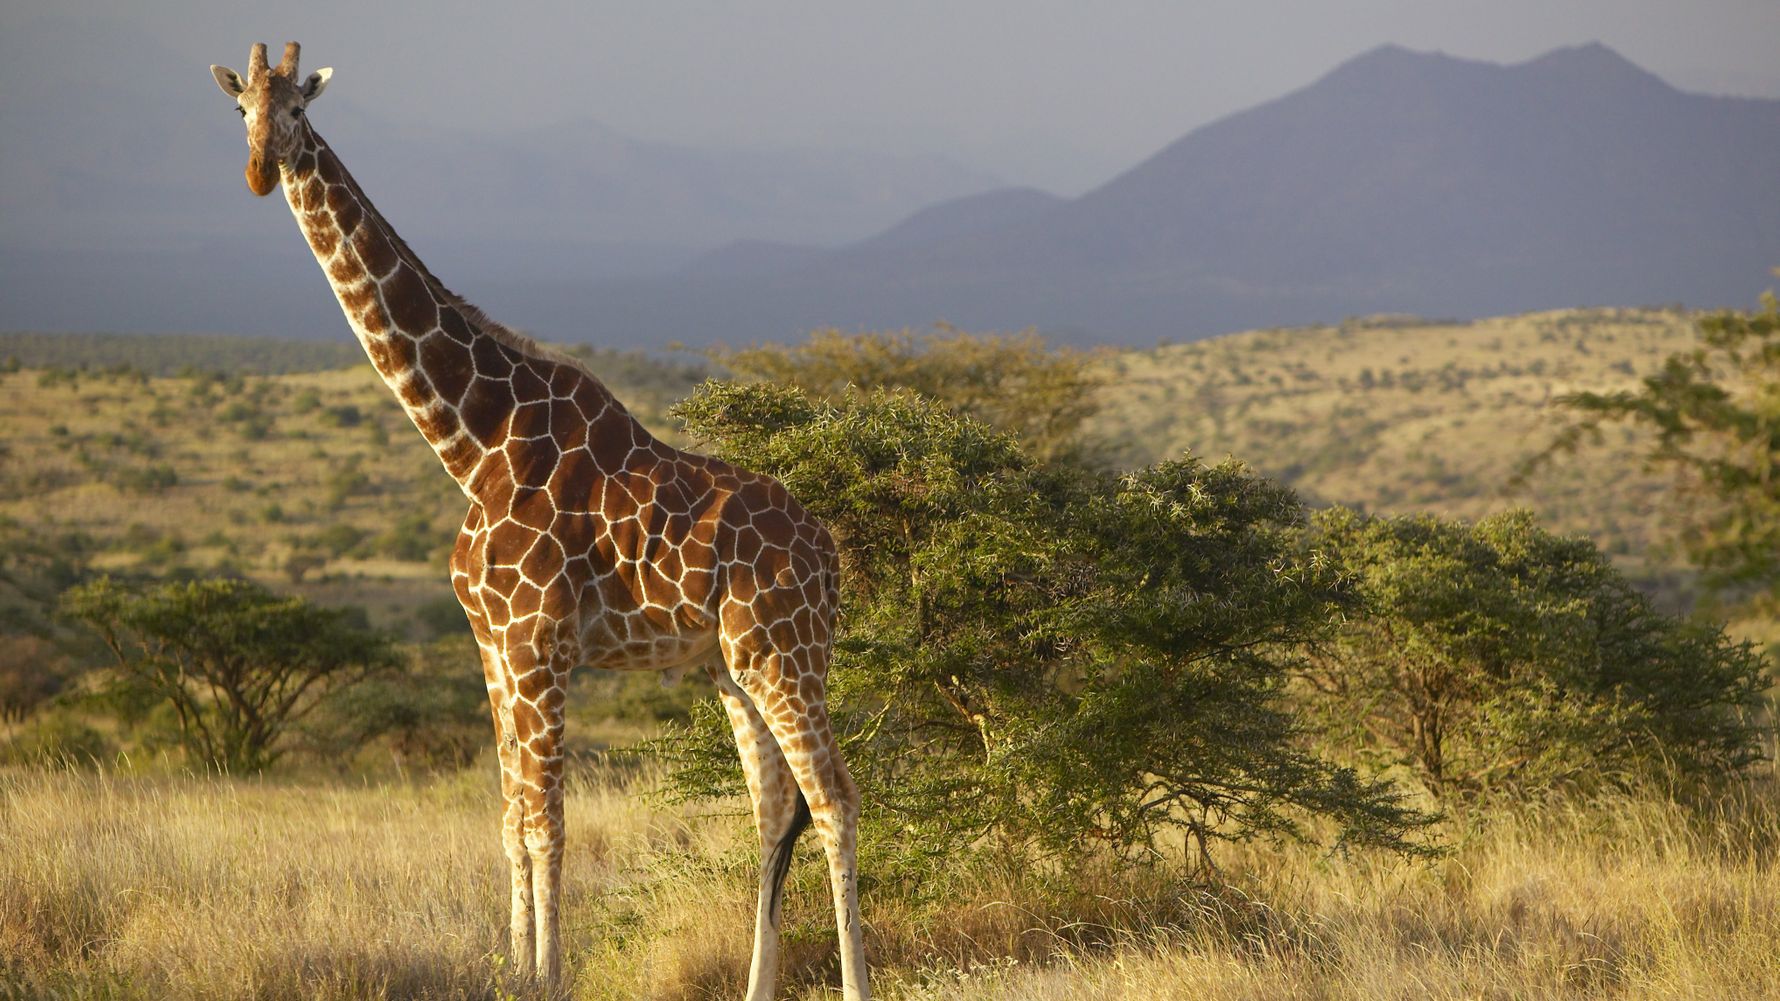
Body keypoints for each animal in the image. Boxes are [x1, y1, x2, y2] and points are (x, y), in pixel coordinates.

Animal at [210, 43, 869, 1000]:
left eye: (298, 108)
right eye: (242, 112)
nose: (262, 169)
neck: (473, 443)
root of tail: (829, 552)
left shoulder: (537, 641)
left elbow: (549, 821)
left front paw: (549, 972)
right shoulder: (490, 645)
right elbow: (511, 817)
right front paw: (515, 966)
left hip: (784, 651)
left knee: (834, 797)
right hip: (729, 665)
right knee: (774, 807)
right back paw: (756, 987)